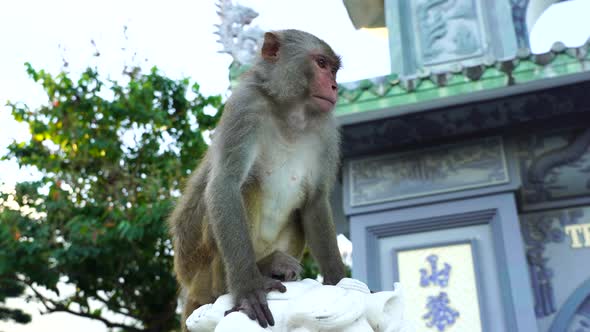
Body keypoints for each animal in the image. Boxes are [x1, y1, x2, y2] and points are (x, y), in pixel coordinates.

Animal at [168, 29, 346, 330]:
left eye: (334, 69)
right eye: (321, 64)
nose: (334, 87)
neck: (290, 112)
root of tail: (188, 286)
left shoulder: (327, 130)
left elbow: (314, 201)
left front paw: (340, 280)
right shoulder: (245, 106)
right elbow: (225, 184)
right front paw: (248, 290)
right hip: (202, 270)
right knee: (247, 185)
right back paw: (258, 271)